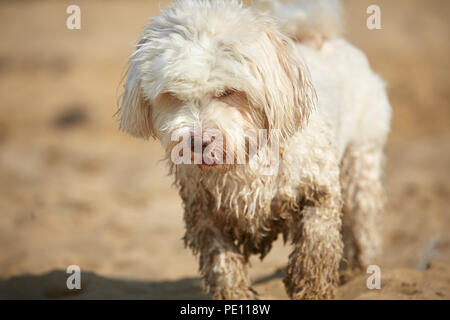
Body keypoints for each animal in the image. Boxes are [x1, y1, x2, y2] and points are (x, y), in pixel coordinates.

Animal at [118, 0, 390, 300]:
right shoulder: (205, 215)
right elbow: (223, 264)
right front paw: (234, 293)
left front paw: (311, 288)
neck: (245, 160)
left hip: (361, 158)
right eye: (173, 96)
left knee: (363, 218)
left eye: (228, 92)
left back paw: (358, 268)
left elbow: (315, 245)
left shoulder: (318, 190)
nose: (199, 142)